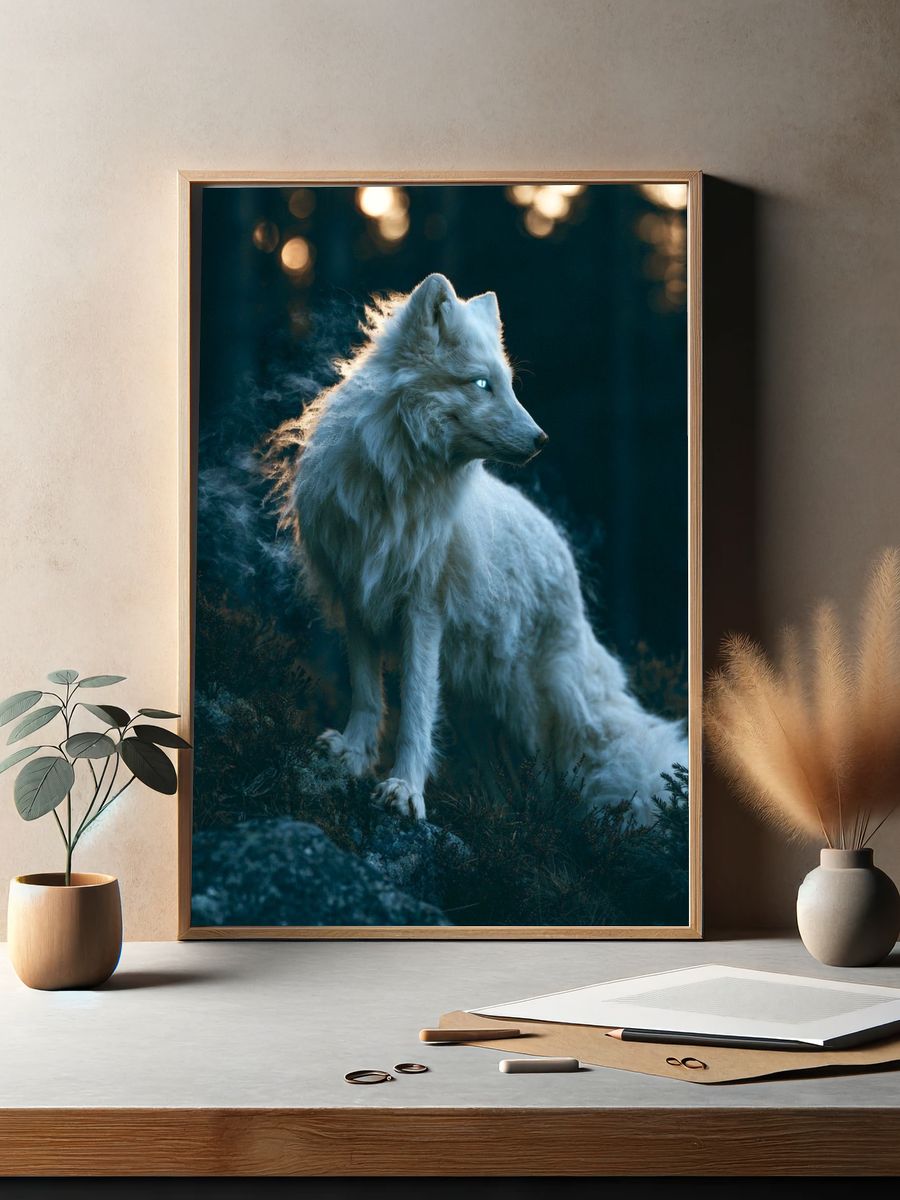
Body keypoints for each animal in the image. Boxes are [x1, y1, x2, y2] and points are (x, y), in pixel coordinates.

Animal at [267, 273, 687, 823]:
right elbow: (368, 694)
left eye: (508, 383)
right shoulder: (360, 596)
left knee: (553, 778)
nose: (542, 439)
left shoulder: (423, 610)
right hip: (480, 703)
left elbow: (416, 708)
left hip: (529, 708)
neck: (395, 485)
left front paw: (405, 789)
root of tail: (564, 556)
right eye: (481, 384)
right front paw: (355, 756)